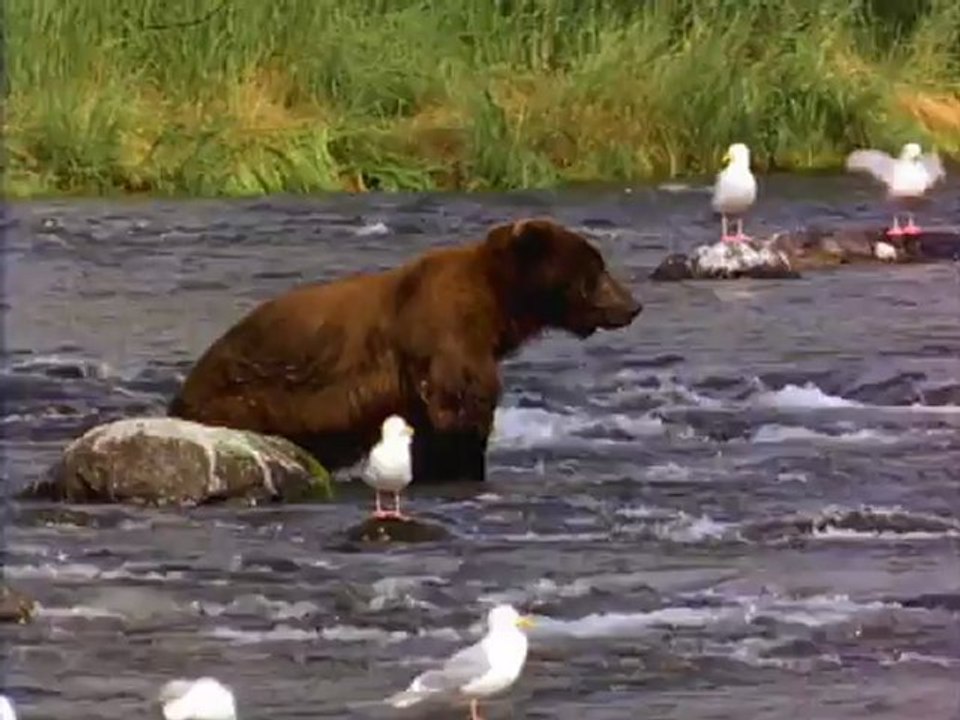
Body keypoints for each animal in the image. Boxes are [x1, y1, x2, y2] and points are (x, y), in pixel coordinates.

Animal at [167, 218, 642, 484]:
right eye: (596, 270)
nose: (633, 305)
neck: (498, 308)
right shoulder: (444, 335)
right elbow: (459, 413)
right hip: (251, 396)